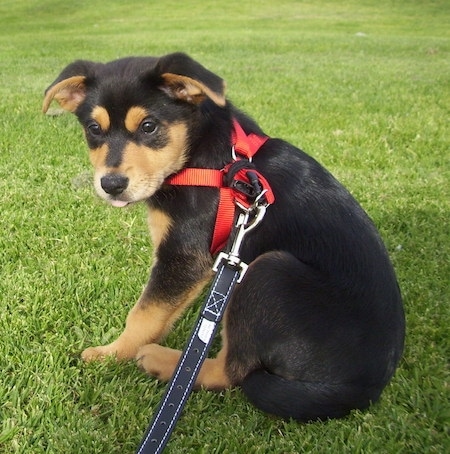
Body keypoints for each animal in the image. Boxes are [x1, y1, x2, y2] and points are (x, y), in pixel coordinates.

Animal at [44, 51, 406, 420]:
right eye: (93, 129)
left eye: (149, 126)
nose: (111, 185)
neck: (204, 162)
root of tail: (363, 389)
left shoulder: (184, 255)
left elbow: (145, 313)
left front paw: (112, 354)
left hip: (268, 273)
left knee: (231, 372)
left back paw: (164, 361)